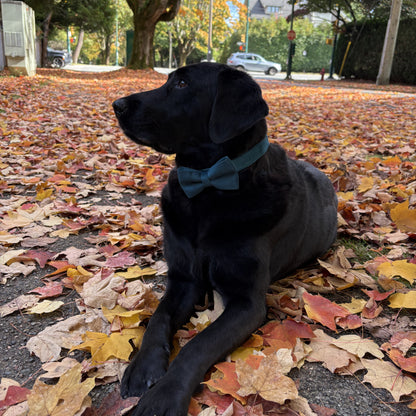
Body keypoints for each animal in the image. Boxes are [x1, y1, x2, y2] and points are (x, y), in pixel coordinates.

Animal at [113, 62, 338, 416]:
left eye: (182, 84)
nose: (117, 105)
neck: (208, 186)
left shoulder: (247, 303)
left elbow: (197, 345)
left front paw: (163, 397)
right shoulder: (184, 279)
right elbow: (158, 318)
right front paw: (143, 367)